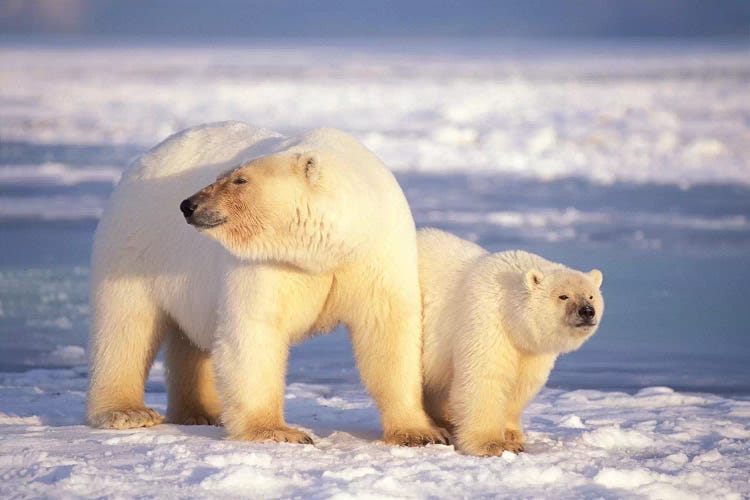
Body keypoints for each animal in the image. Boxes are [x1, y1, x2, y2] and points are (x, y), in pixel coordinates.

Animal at [86, 121, 446, 446]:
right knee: (126, 325)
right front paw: (279, 432)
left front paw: (421, 433)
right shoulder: (270, 261)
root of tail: (145, 158)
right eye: (222, 175)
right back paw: (127, 412)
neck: (330, 248)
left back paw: (201, 412)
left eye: (239, 179)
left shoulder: (375, 256)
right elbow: (254, 329)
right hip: (137, 245)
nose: (188, 205)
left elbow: (388, 331)